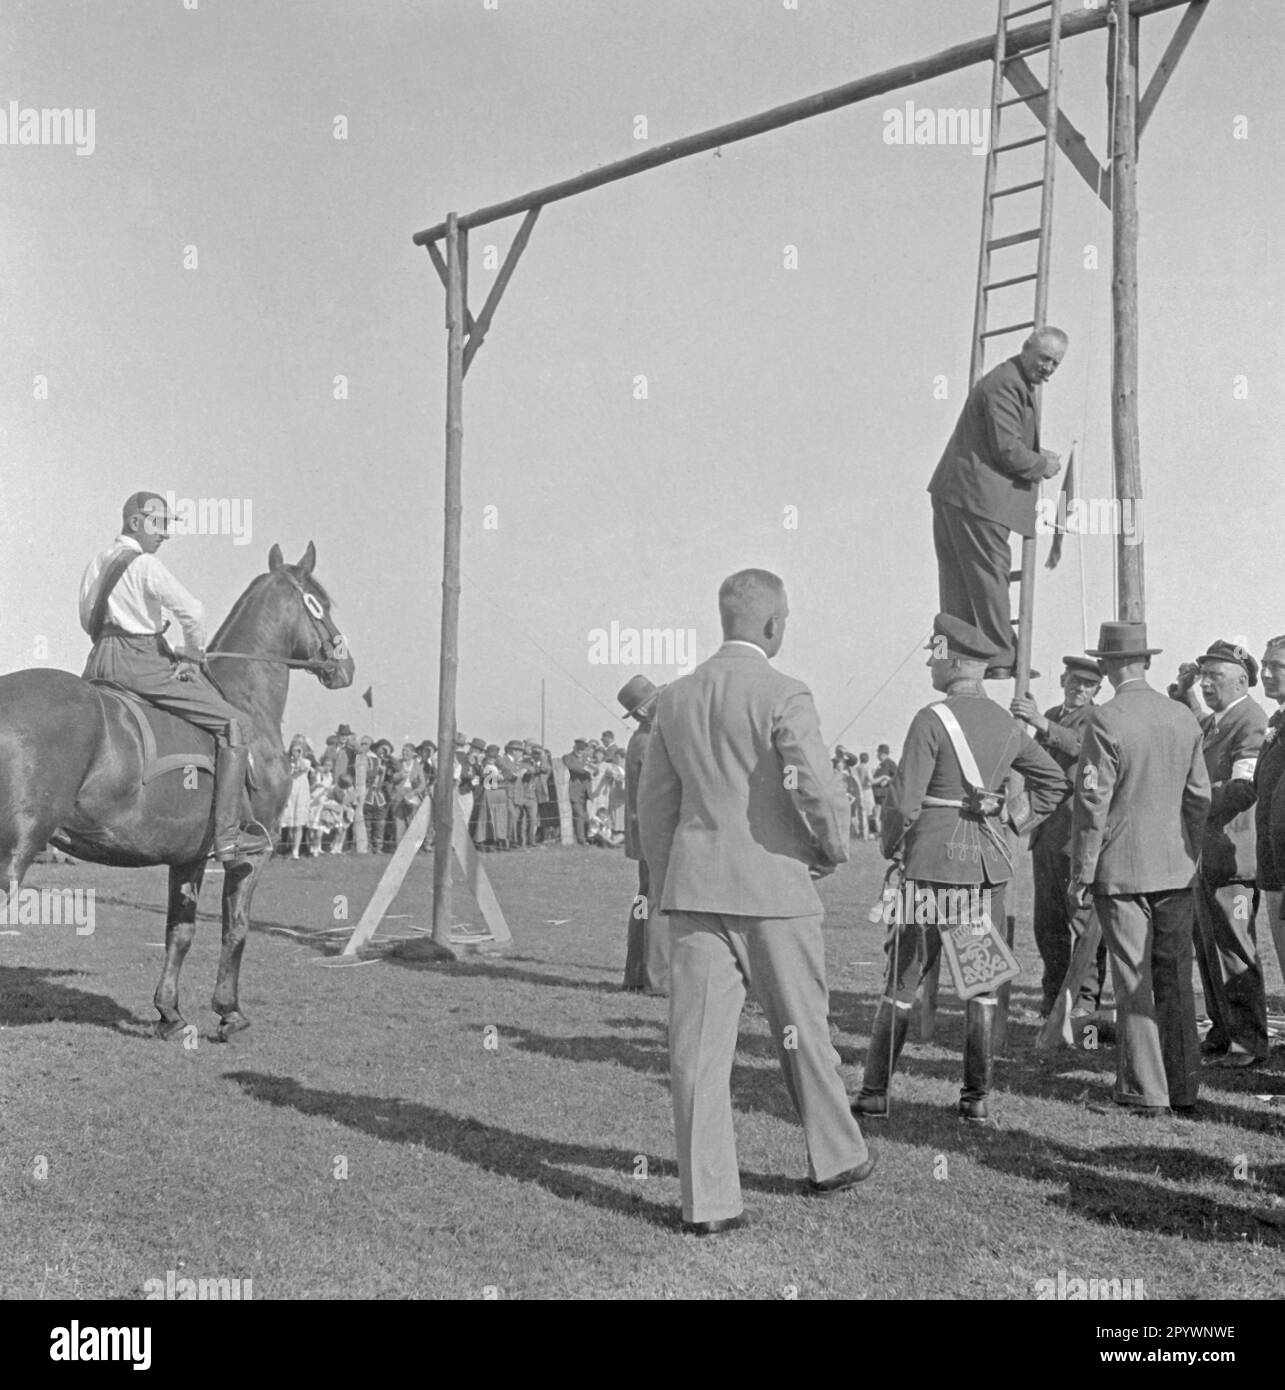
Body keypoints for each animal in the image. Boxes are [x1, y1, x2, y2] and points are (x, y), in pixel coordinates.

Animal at [0, 542, 351, 1045]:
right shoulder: (253, 854)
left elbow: (179, 933)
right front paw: (229, 1011)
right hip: (18, 849)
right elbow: (235, 928)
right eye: (319, 603)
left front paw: (170, 1012)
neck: (245, 702)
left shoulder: (188, 857)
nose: (345, 665)